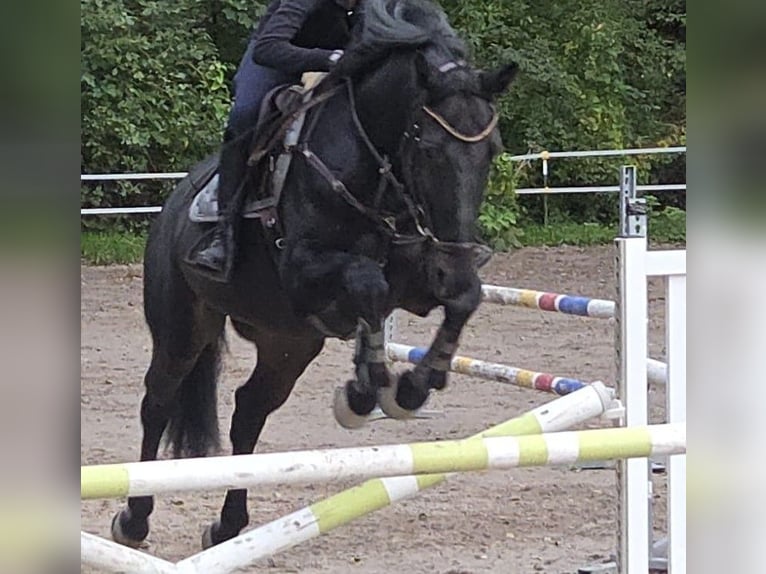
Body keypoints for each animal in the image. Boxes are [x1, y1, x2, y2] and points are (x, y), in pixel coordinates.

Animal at [111, 0, 518, 550]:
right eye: (429, 147)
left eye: (491, 150)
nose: (453, 261)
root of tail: (173, 203)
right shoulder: (303, 269)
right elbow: (369, 284)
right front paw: (369, 390)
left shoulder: (418, 278)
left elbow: (462, 299)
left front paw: (413, 385)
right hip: (183, 327)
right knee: (158, 400)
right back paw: (134, 519)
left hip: (288, 342)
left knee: (249, 411)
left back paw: (228, 525)